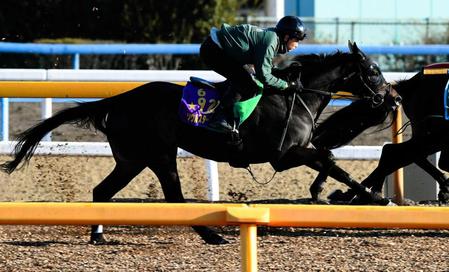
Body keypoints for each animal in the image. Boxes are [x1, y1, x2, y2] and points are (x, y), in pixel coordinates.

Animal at [0, 42, 390, 244]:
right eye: (372, 71)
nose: (389, 96)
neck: (296, 96)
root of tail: (120, 99)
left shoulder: (296, 152)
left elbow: (329, 158)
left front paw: (331, 191)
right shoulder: (285, 154)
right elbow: (332, 162)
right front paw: (374, 198)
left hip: (133, 159)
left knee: (102, 191)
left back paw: (98, 235)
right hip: (156, 155)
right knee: (173, 196)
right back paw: (213, 236)